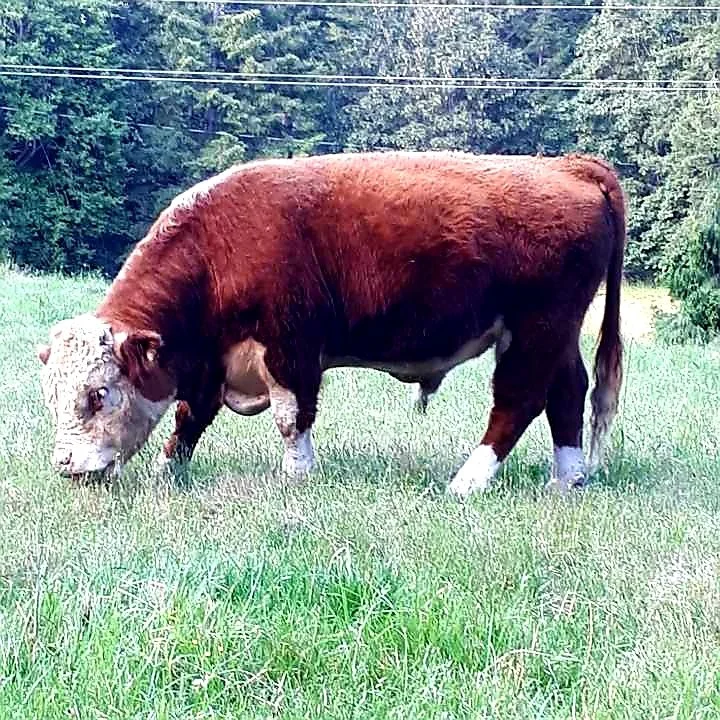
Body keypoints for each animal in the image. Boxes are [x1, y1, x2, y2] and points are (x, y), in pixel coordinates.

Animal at [37, 151, 625, 498]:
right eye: (53, 396)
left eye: (99, 394)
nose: (66, 463)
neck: (219, 248)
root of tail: (568, 166)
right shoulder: (211, 359)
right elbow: (189, 418)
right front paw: (168, 471)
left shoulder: (289, 348)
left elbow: (290, 417)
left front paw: (296, 475)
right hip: (556, 333)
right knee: (567, 393)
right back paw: (567, 478)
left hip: (535, 329)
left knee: (519, 400)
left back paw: (468, 481)